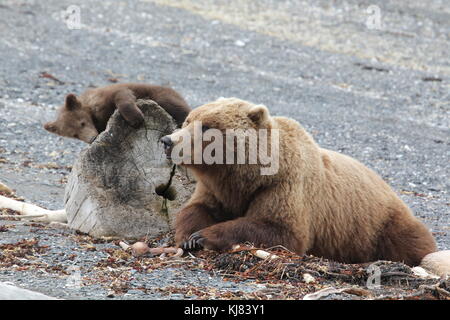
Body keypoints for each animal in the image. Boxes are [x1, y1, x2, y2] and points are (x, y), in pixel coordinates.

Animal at [42, 82, 190, 142]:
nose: (92, 138)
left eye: (82, 123)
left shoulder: (109, 95)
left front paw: (136, 118)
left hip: (163, 95)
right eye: (74, 135)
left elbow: (122, 96)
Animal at [162, 96, 440, 266]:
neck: (245, 177)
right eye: (189, 120)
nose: (168, 141)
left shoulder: (284, 186)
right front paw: (189, 236)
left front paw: (204, 236)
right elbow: (195, 208)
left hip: (380, 223)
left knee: (410, 240)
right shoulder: (217, 189)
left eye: (207, 126)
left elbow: (280, 230)